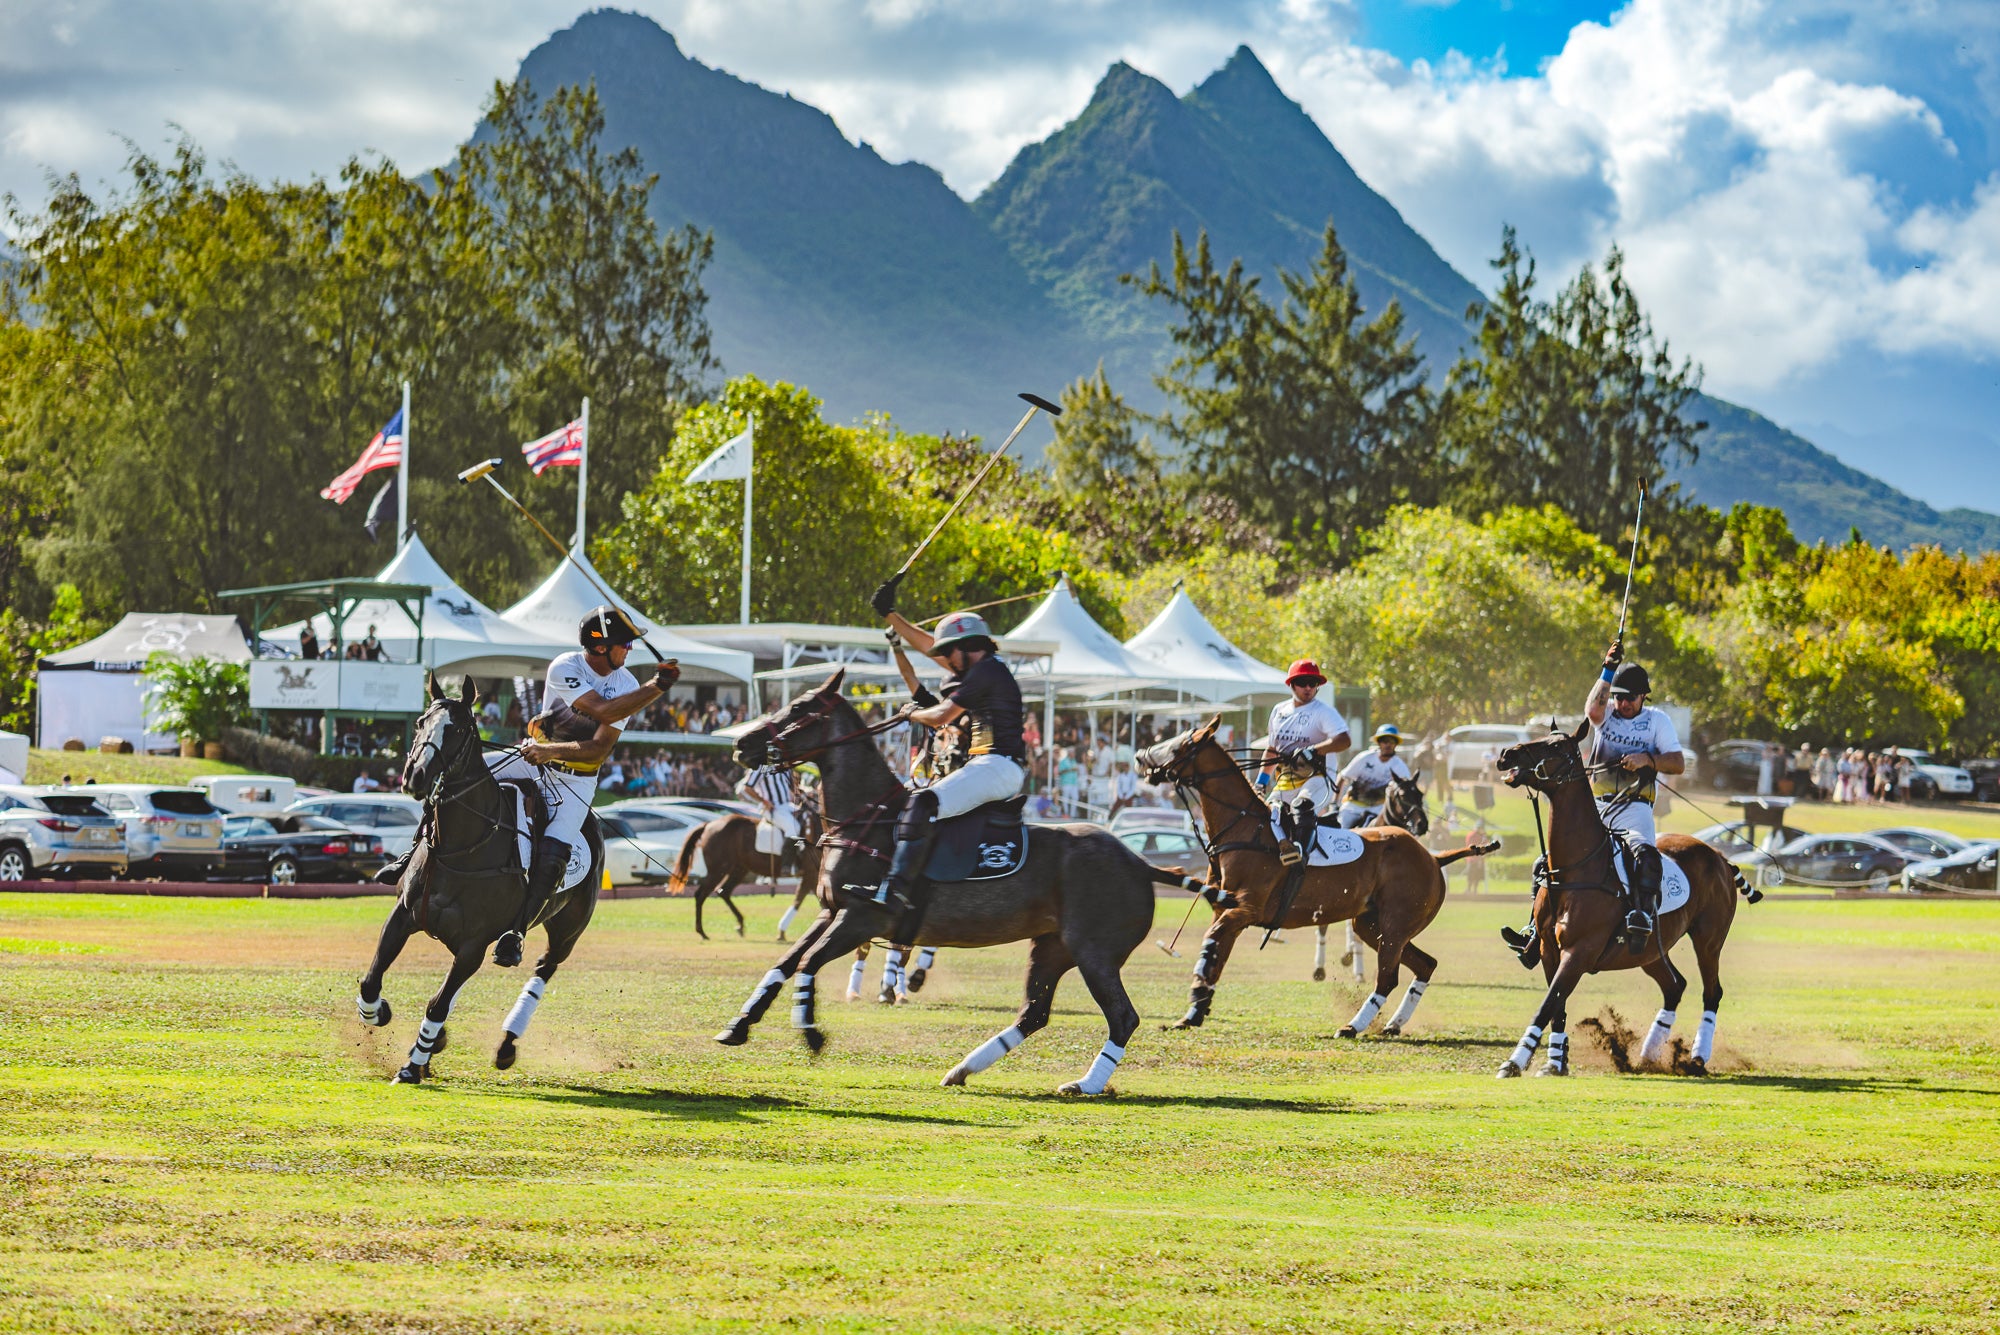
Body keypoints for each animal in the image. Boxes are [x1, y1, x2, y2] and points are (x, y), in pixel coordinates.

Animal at [356, 679, 600, 1087]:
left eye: (456, 730)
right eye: (420, 722)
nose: (414, 777)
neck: (459, 847)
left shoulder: (473, 944)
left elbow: (437, 1004)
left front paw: (411, 1067)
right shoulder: (402, 917)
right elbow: (372, 981)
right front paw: (382, 1015)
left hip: (567, 931)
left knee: (544, 968)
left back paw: (505, 1046)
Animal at [712, 667, 1176, 1095]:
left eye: (799, 708)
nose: (740, 745)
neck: (867, 818)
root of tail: (1141, 865)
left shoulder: (861, 917)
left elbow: (808, 962)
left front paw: (811, 1034)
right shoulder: (831, 911)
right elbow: (784, 962)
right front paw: (737, 1026)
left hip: (1094, 951)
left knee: (1122, 1016)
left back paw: (1086, 1083)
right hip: (1051, 947)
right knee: (1034, 1012)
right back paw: (963, 1069)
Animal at [1136, 723, 1496, 1039]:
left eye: (1179, 745)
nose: (1141, 756)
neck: (1245, 829)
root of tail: (1434, 857)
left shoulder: (1245, 910)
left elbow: (1210, 944)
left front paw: (1197, 994)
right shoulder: (1224, 912)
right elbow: (1216, 958)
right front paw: (1194, 1011)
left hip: (1395, 925)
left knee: (1388, 978)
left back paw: (1353, 1026)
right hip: (1373, 924)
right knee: (1425, 964)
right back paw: (1393, 1024)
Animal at [1496, 719, 1760, 1071]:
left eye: (1555, 746)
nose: (1506, 754)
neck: (1575, 870)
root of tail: (1720, 856)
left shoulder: (1580, 950)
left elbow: (1548, 1003)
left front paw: (1515, 1063)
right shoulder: (1549, 949)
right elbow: (1557, 1006)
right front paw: (1555, 1063)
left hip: (1708, 939)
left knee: (1711, 991)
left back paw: (1697, 1056)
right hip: (1649, 950)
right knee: (1675, 985)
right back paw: (1649, 1054)